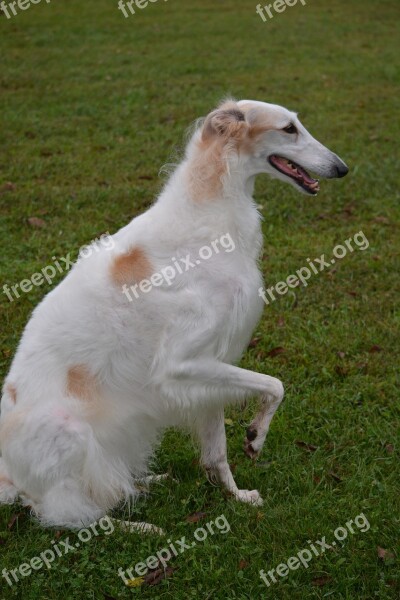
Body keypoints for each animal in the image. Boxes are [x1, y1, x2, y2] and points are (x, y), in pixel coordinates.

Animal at [0, 101, 346, 528]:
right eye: (288, 129)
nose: (342, 168)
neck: (208, 211)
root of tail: (10, 477)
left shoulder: (210, 367)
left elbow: (217, 453)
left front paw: (236, 495)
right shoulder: (180, 364)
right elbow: (275, 384)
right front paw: (256, 436)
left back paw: (148, 480)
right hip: (72, 435)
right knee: (68, 515)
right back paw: (139, 526)